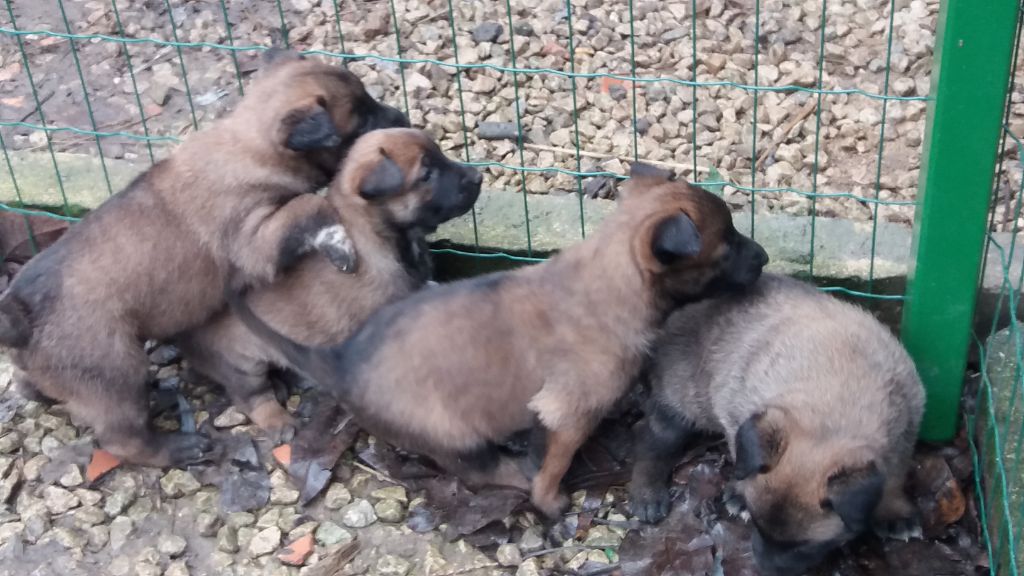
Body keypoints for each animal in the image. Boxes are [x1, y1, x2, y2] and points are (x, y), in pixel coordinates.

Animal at [0, 49, 407, 467]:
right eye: (361, 119)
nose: (403, 119)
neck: (249, 146)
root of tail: (19, 316)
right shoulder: (256, 236)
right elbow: (309, 204)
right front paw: (340, 242)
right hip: (116, 372)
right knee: (121, 438)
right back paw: (179, 447)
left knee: (32, 386)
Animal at [178, 129, 481, 434]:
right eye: (426, 174)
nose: (478, 177)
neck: (377, 237)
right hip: (243, 364)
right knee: (250, 397)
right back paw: (277, 419)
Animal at [226, 162, 770, 516]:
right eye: (727, 246)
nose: (765, 257)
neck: (608, 277)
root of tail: (340, 360)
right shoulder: (568, 412)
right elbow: (554, 461)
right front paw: (550, 501)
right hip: (451, 433)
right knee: (475, 469)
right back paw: (513, 473)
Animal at [626, 272, 925, 573]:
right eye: (757, 526)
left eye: (805, 547)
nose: (764, 569)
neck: (840, 389)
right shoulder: (739, 414)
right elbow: (740, 455)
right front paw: (740, 492)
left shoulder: (905, 432)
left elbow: (894, 476)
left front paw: (893, 511)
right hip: (680, 402)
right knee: (651, 439)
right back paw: (647, 493)